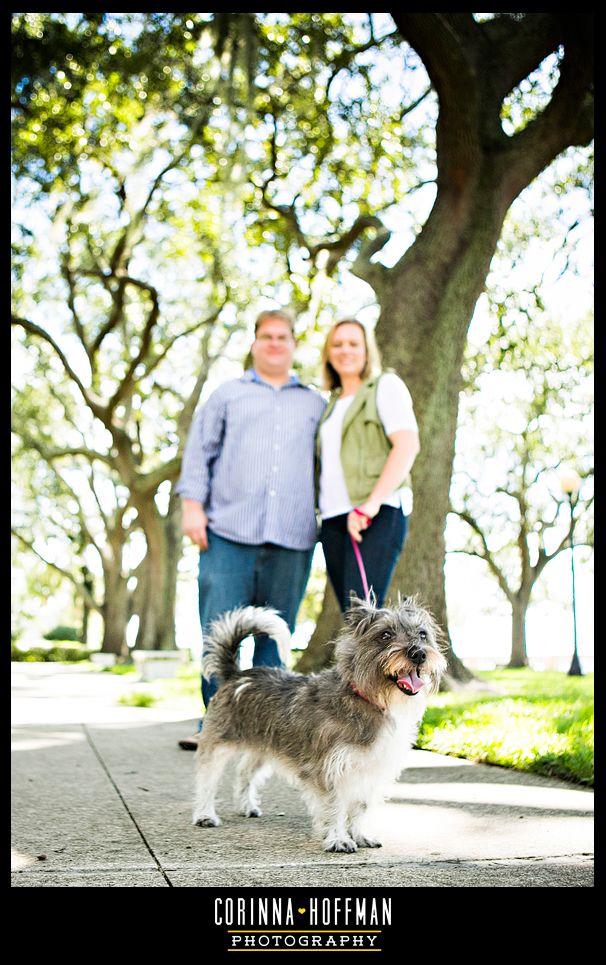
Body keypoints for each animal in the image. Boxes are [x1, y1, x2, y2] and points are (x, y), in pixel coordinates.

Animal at [192, 596, 448, 852]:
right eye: (385, 635)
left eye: (422, 634)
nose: (419, 654)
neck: (367, 699)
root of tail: (236, 674)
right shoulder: (329, 770)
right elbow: (334, 806)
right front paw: (338, 839)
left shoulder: (371, 770)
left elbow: (361, 806)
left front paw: (360, 834)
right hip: (218, 746)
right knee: (206, 780)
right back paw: (205, 814)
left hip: (263, 748)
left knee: (245, 772)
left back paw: (247, 806)